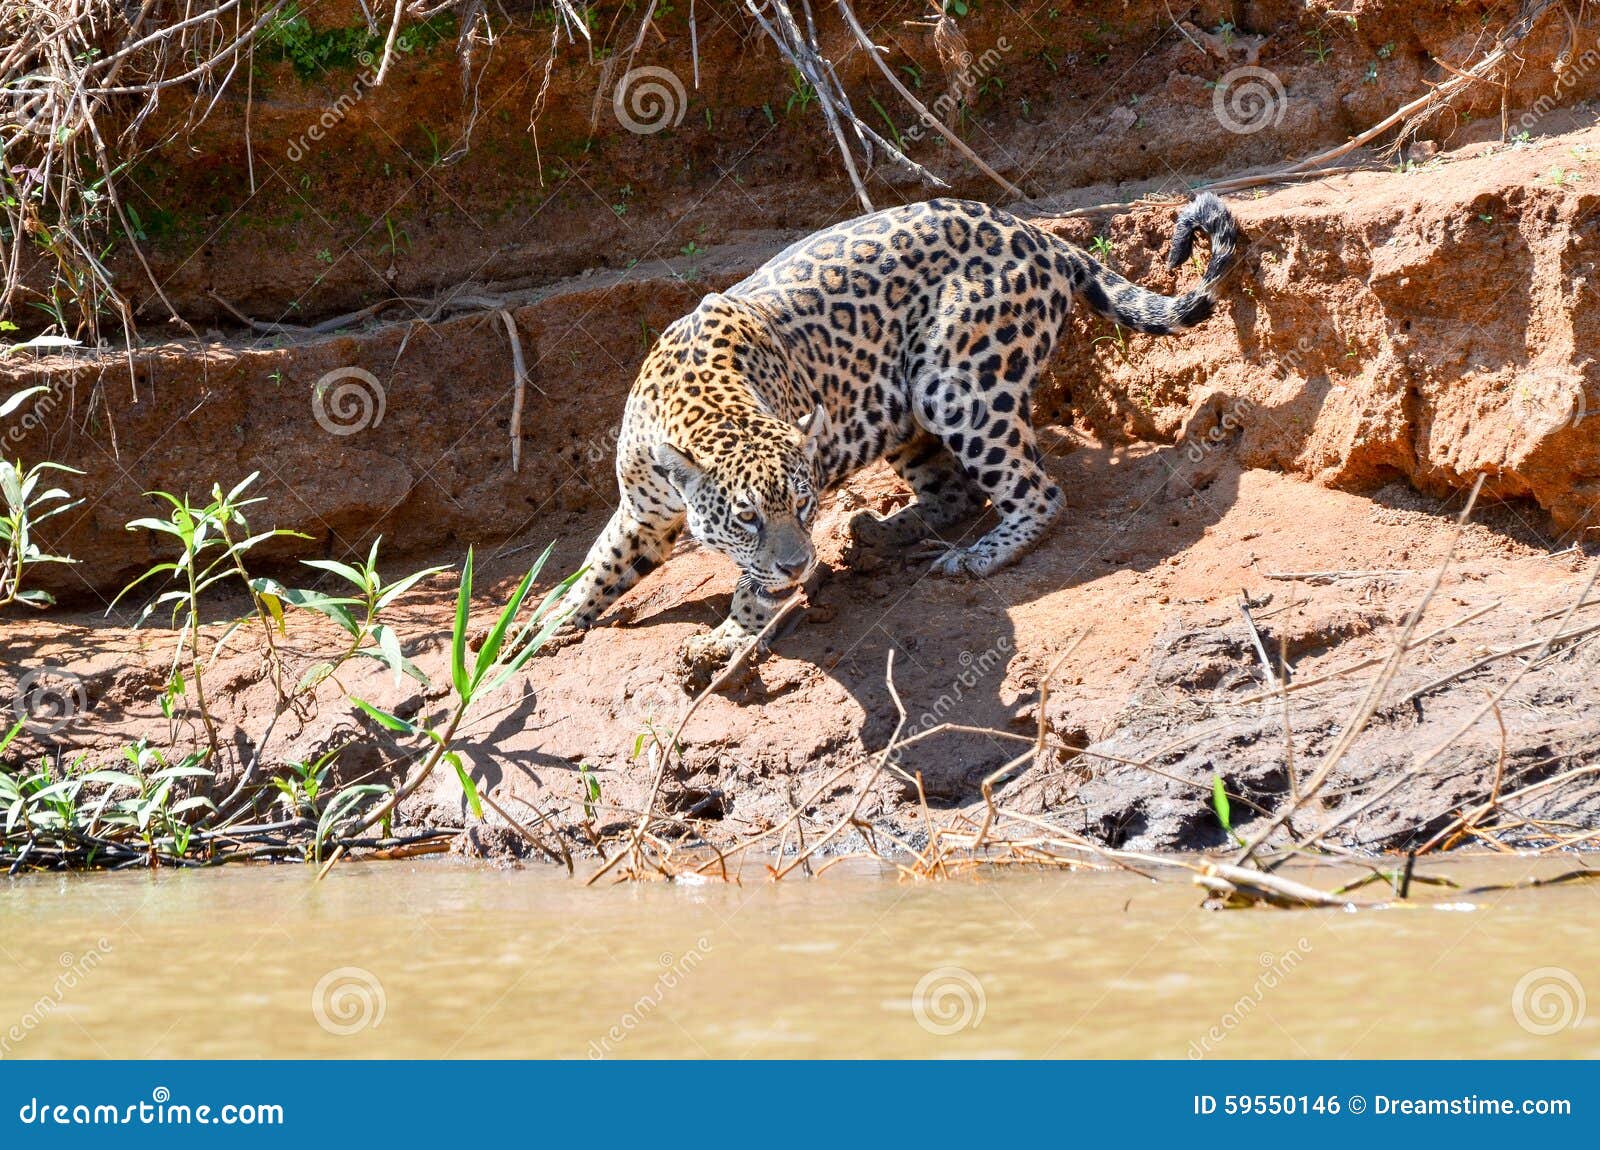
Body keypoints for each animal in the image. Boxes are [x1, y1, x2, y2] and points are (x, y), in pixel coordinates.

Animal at [558, 193, 1241, 687]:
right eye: (746, 517)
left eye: (803, 506)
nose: (798, 563)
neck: (699, 401)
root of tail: (1036, 231)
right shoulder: (643, 514)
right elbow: (601, 563)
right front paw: (549, 622)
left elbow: (753, 591)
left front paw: (727, 638)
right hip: (905, 414)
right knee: (955, 493)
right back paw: (876, 534)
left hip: (956, 384)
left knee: (1037, 491)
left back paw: (975, 556)